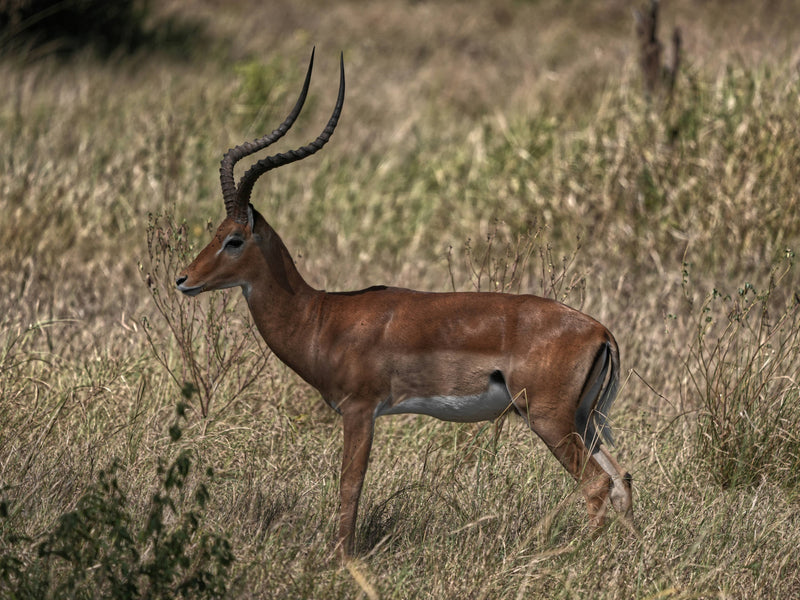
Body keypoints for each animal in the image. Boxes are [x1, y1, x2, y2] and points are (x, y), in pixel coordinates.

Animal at [176, 50, 633, 559]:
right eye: (215, 231)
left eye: (234, 239)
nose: (183, 279)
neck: (321, 316)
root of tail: (599, 331)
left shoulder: (359, 411)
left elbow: (349, 486)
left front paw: (340, 559)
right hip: (585, 420)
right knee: (622, 479)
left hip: (549, 419)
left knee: (596, 483)